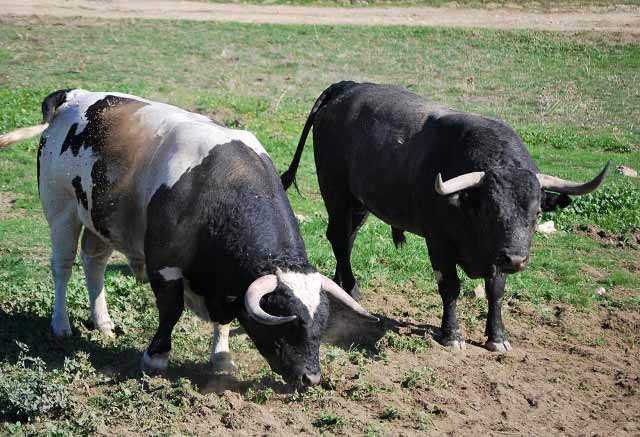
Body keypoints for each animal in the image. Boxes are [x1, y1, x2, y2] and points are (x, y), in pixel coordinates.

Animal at [0, 87, 378, 384]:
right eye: (288, 323)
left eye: (320, 326)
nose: (311, 378)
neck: (218, 187)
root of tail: (72, 96)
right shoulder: (165, 266)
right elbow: (171, 310)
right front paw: (156, 357)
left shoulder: (225, 284)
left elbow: (224, 319)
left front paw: (221, 358)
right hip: (62, 211)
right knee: (62, 267)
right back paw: (61, 324)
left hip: (99, 223)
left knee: (94, 265)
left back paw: (103, 322)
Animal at [282, 82, 608, 352]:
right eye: (490, 208)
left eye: (537, 212)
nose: (516, 259)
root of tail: (345, 87)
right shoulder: (438, 243)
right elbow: (450, 286)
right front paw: (452, 335)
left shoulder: (495, 253)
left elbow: (496, 290)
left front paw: (497, 337)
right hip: (336, 192)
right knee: (338, 237)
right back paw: (351, 288)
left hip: (359, 203)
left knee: (347, 240)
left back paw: (344, 285)